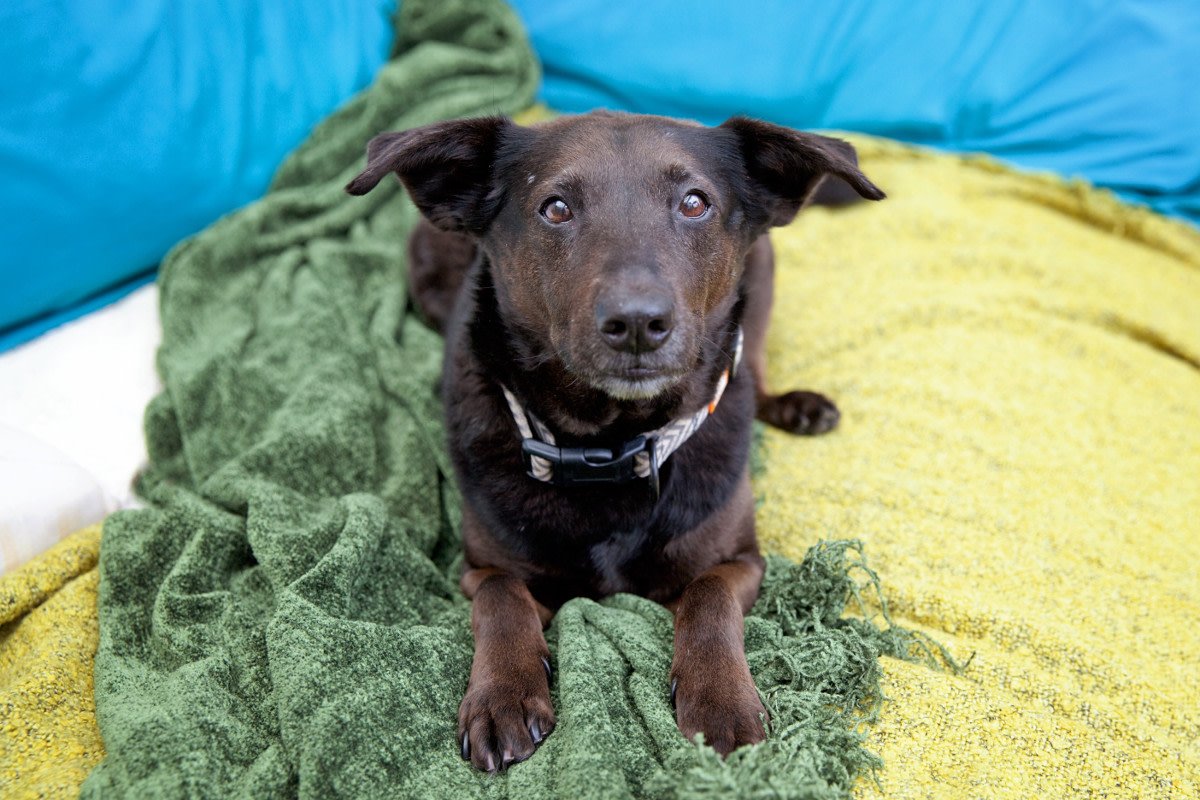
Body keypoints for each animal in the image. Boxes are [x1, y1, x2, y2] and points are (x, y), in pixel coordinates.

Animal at [348, 109, 883, 772]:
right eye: (555, 208)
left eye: (694, 202)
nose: (636, 323)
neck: (610, 446)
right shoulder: (479, 567)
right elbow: (500, 599)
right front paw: (502, 695)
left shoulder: (741, 560)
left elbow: (709, 596)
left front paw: (721, 699)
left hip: (761, 283)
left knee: (752, 366)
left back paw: (795, 406)